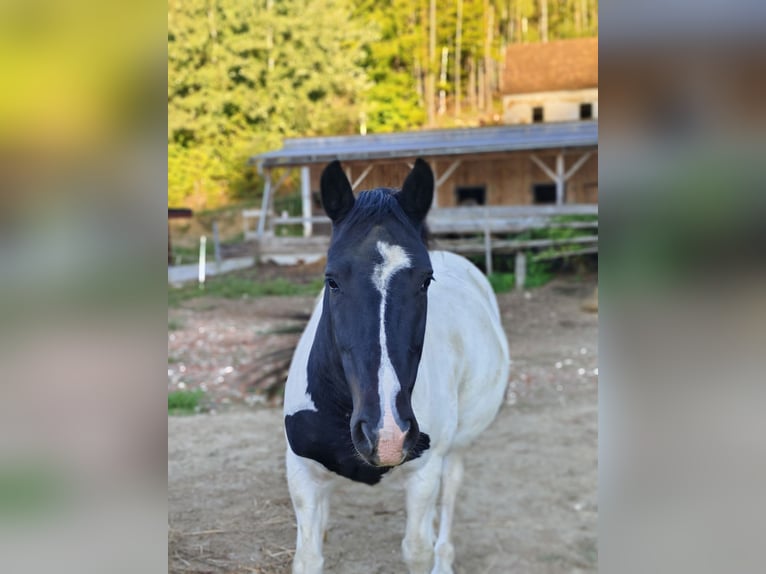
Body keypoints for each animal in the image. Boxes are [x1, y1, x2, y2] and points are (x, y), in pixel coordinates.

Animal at [283, 159, 510, 574]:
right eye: (331, 280)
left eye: (425, 280)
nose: (385, 434)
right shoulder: (303, 474)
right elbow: (308, 557)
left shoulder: (424, 473)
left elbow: (417, 550)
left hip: (454, 451)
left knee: (447, 503)